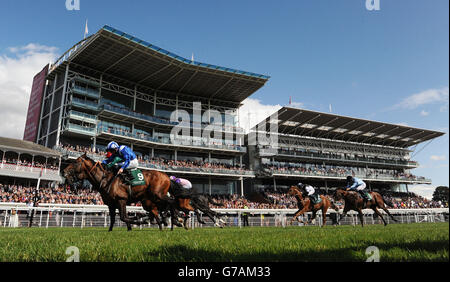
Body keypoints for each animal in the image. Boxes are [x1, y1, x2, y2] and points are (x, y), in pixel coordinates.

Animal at [62, 154, 192, 231]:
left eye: (75, 162)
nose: (63, 171)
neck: (106, 179)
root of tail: (167, 176)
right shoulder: (111, 204)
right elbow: (115, 218)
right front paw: (112, 230)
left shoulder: (121, 200)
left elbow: (124, 217)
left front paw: (138, 221)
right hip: (153, 199)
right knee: (163, 208)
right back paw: (170, 222)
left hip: (158, 194)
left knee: (171, 202)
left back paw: (175, 220)